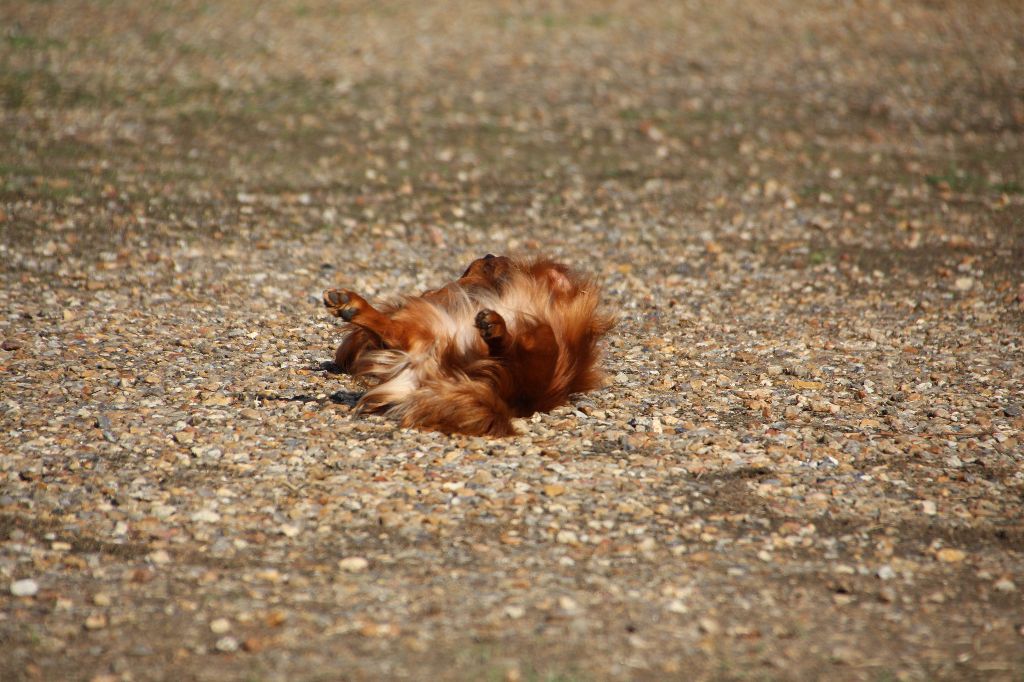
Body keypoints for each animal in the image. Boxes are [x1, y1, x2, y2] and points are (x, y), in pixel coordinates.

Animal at [322, 255, 614, 436]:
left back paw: (350, 304)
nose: (489, 254)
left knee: (393, 333)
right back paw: (496, 327)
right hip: (542, 345)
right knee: (515, 346)